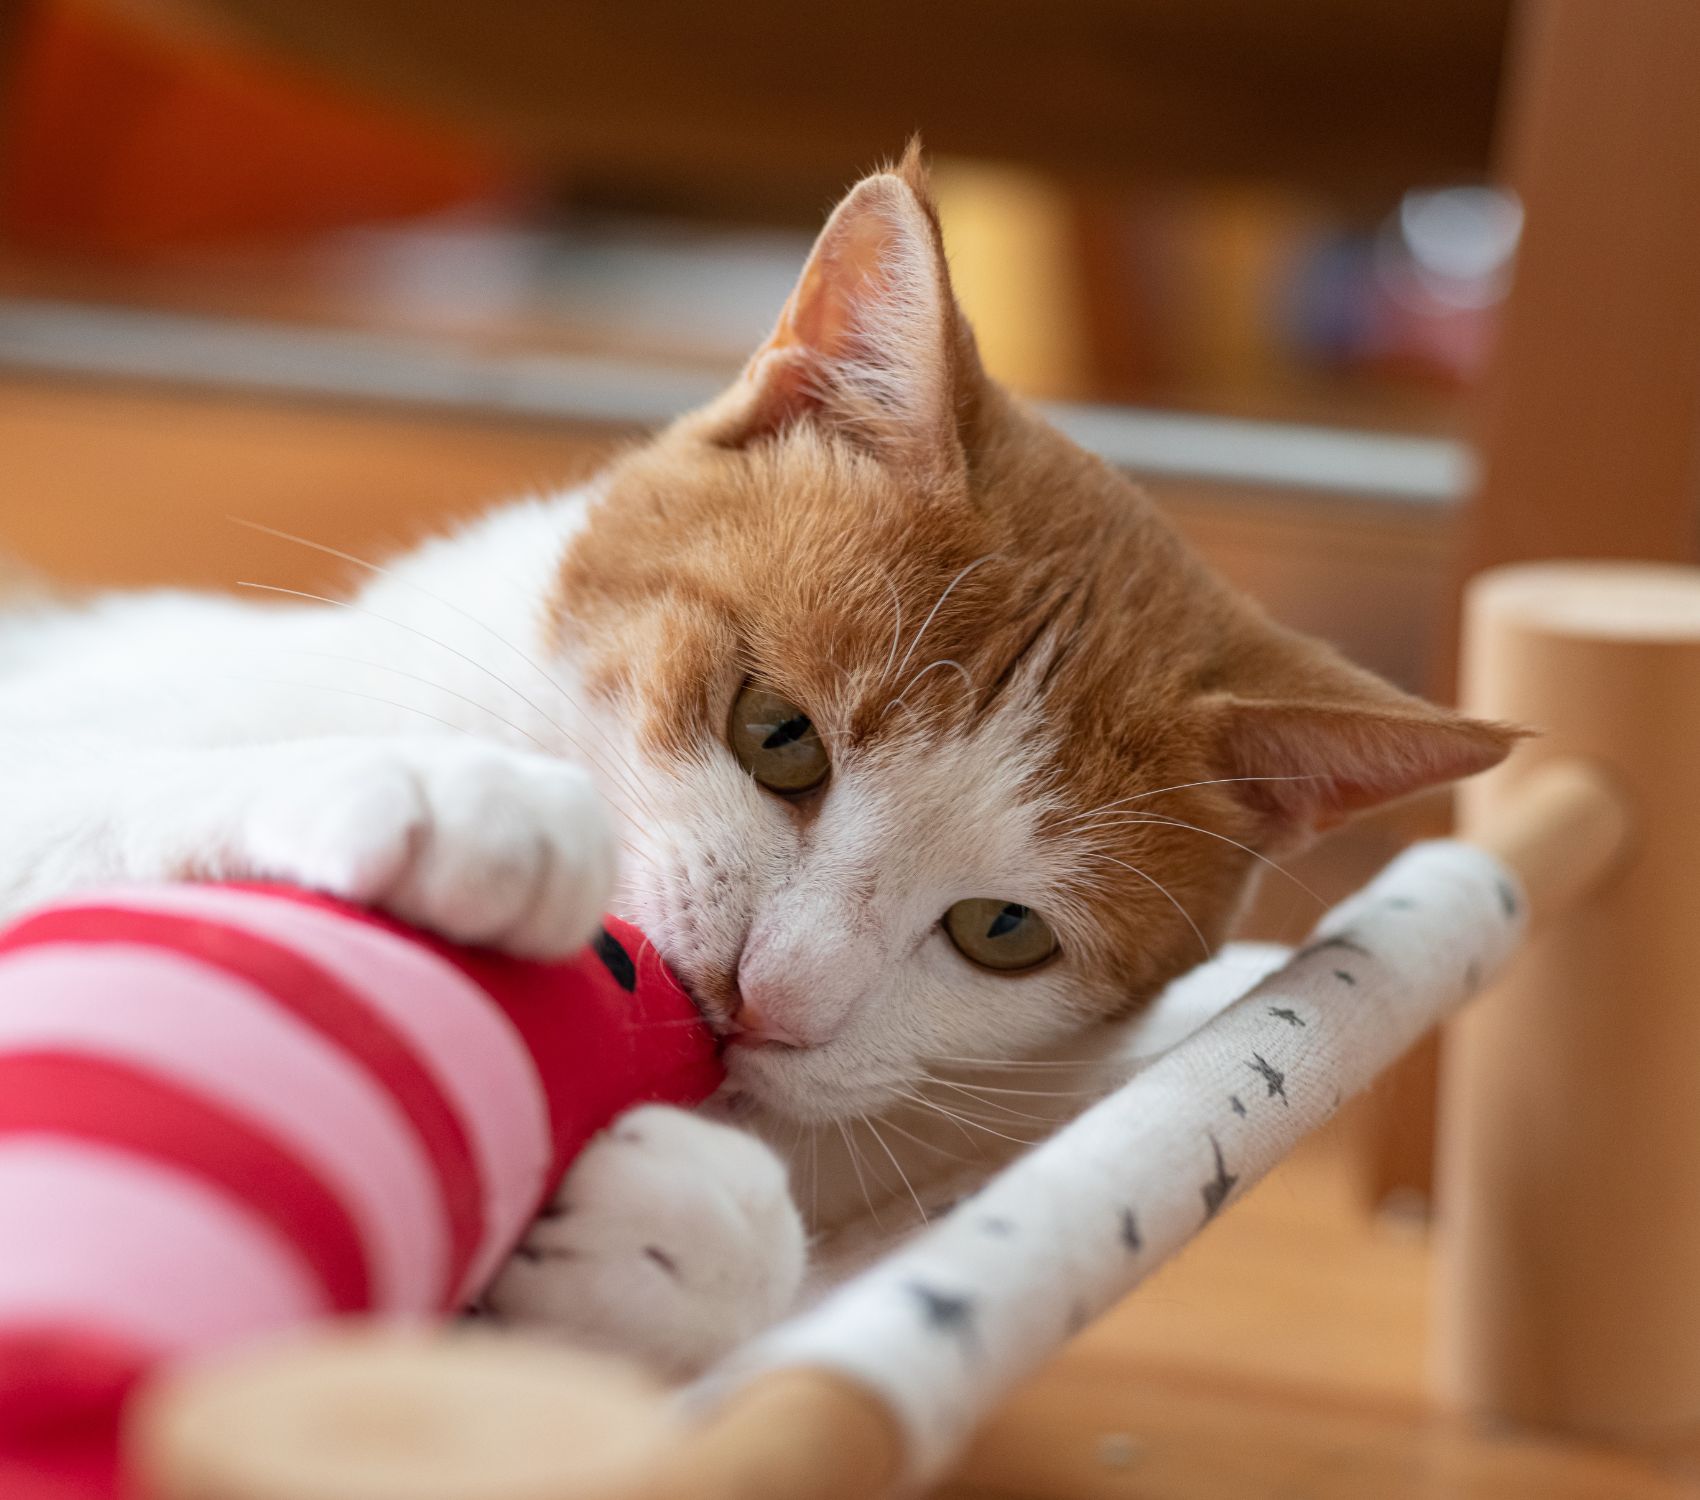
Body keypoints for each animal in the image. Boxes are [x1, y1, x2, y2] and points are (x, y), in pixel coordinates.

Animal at [0, 146, 1516, 1374]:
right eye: (776, 735)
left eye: (1003, 932)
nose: (763, 996)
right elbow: (77, 796)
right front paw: (438, 792)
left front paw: (680, 1236)